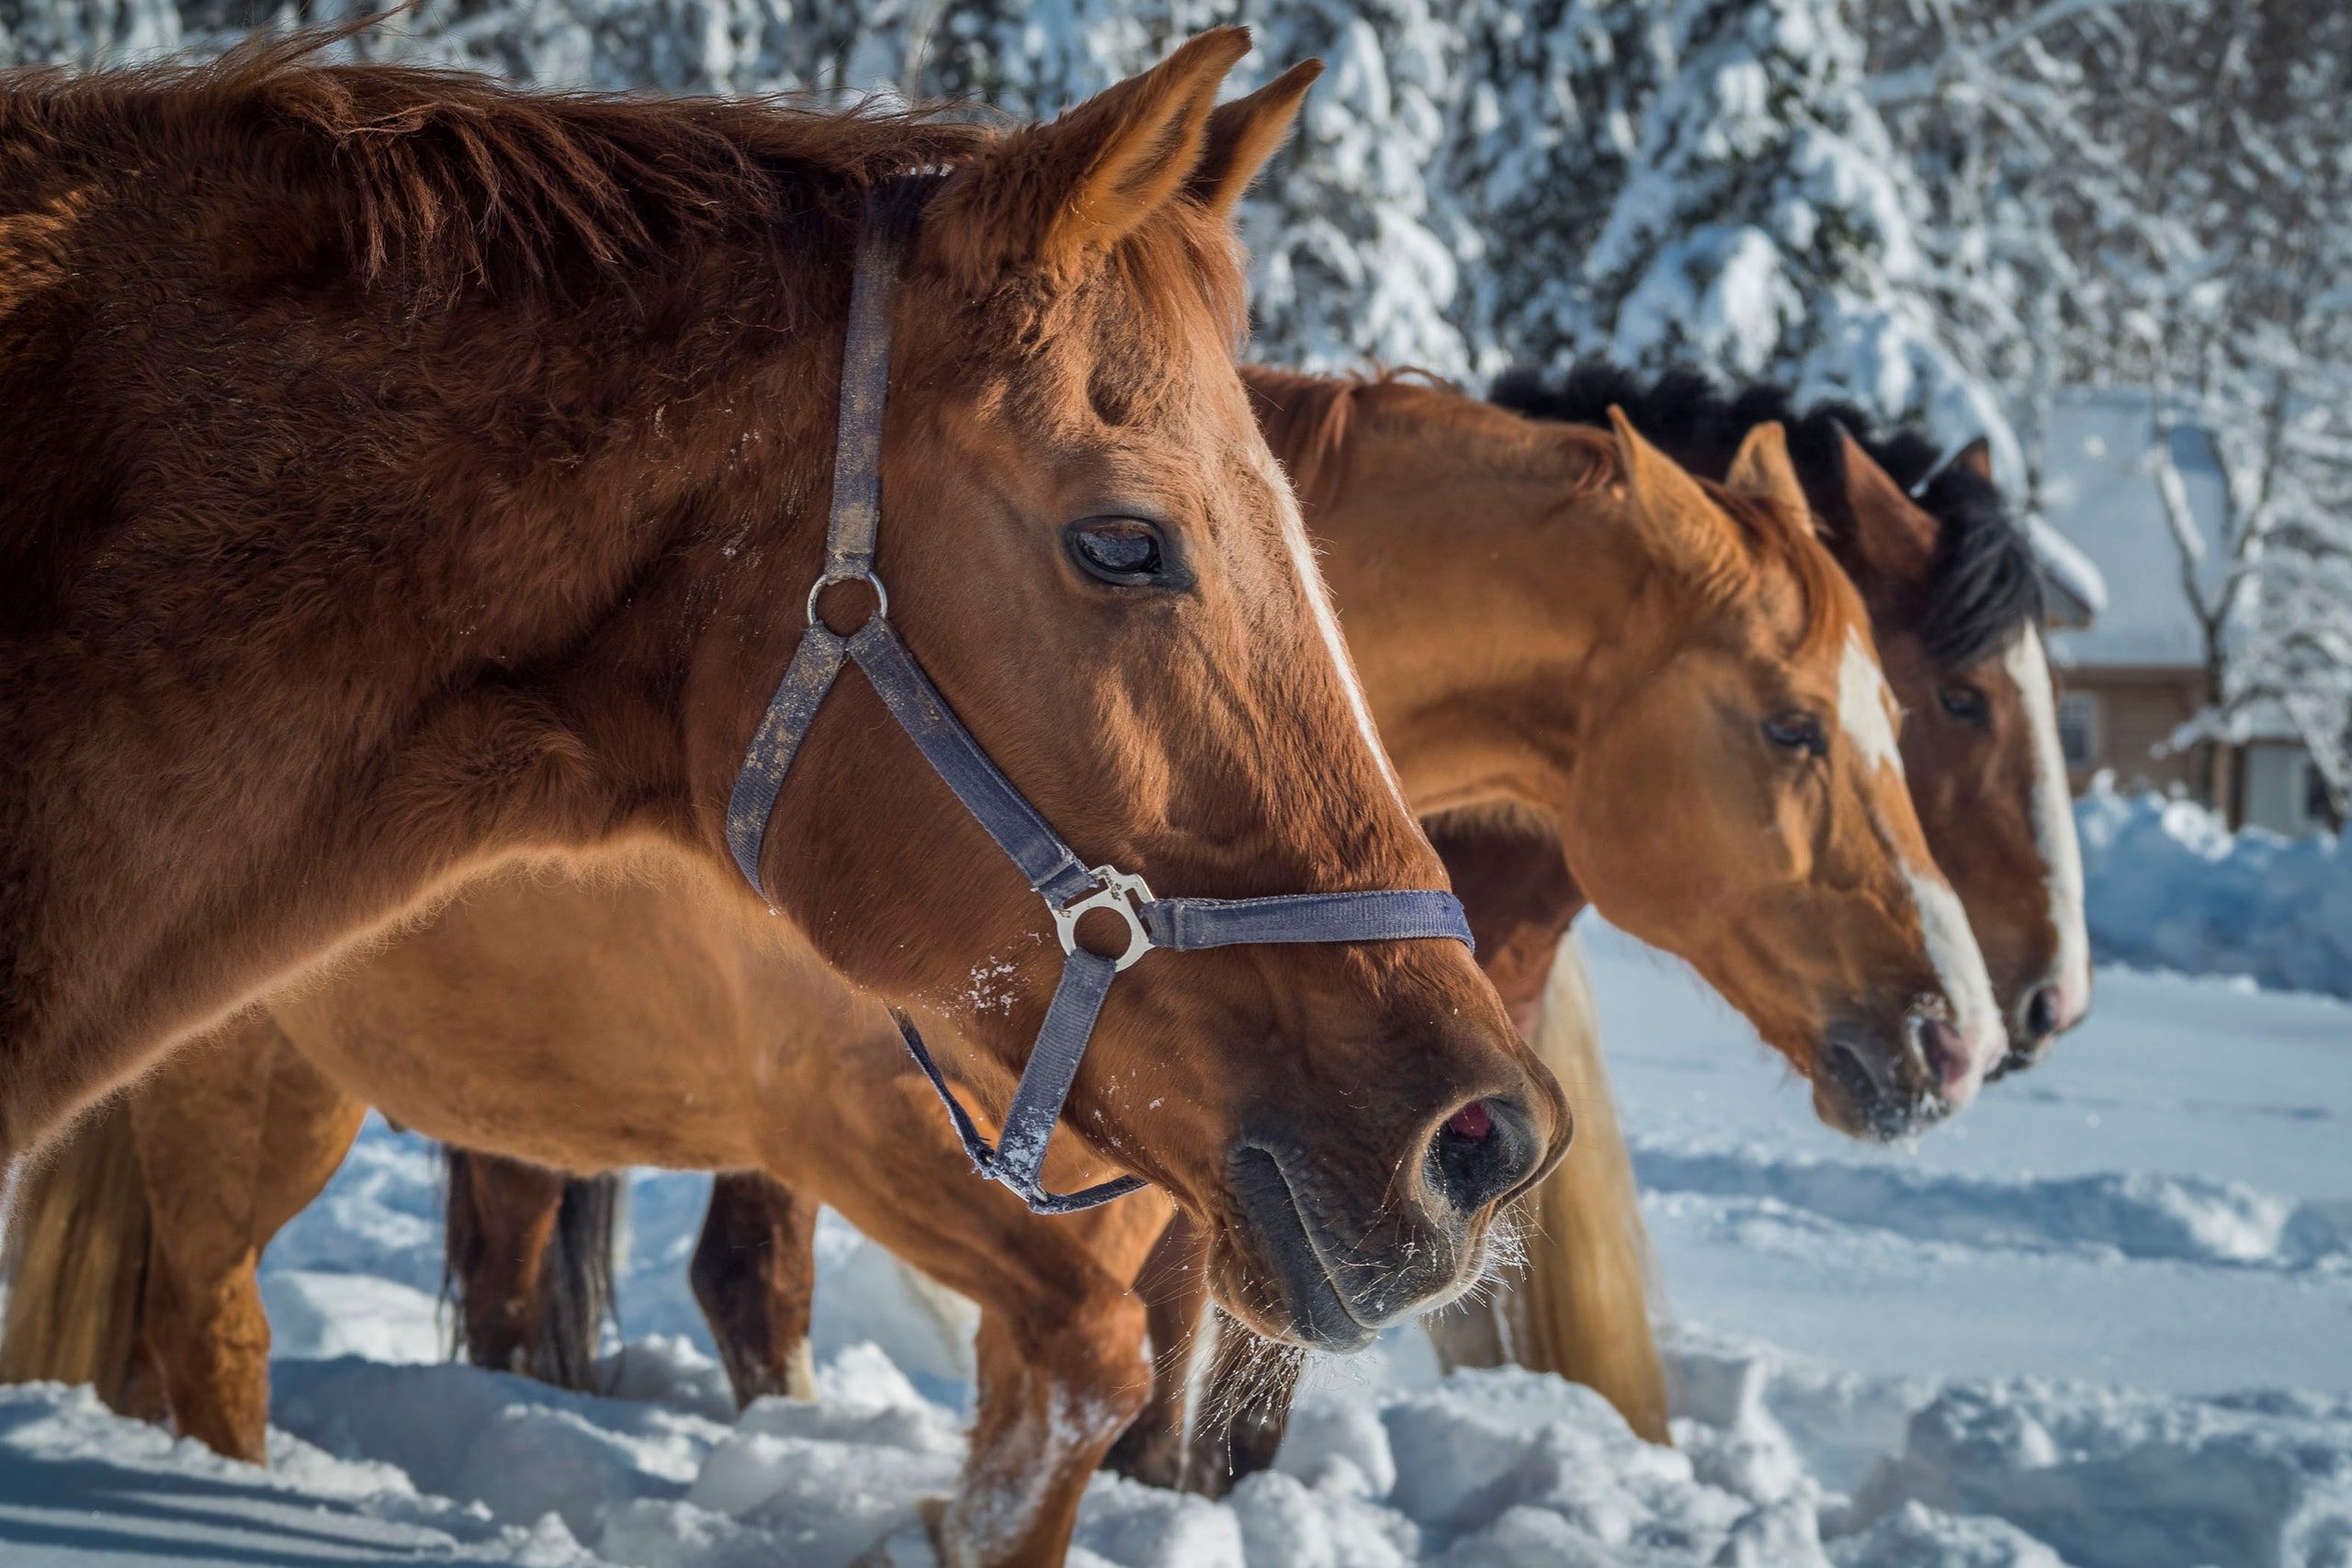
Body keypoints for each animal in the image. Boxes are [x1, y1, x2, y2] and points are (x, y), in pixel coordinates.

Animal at [3, 383, 1997, 1564]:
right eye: (1795, 721)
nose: (1958, 1028)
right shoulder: (854, 1134)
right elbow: (1074, 1383)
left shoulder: (1146, 1209)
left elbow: (1078, 1413)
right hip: (252, 1088)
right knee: (217, 1326)